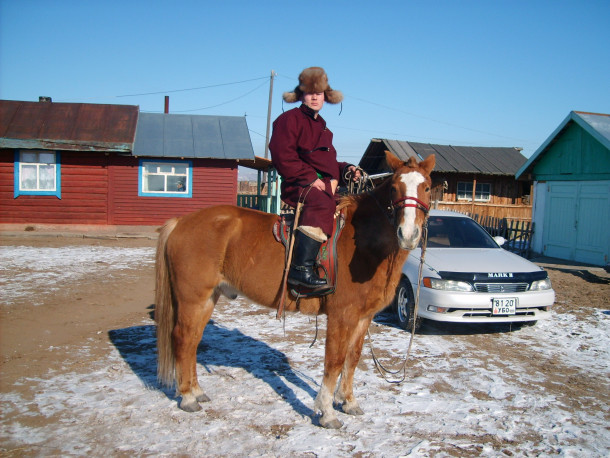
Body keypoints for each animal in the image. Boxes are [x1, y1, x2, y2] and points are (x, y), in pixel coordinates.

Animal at [154, 151, 434, 430]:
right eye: (395, 188)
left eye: (427, 187)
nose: (408, 234)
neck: (364, 242)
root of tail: (181, 222)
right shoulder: (341, 316)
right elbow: (334, 360)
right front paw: (327, 412)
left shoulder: (363, 317)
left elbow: (352, 358)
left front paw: (348, 402)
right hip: (192, 299)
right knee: (182, 339)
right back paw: (188, 397)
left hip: (207, 299)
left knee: (193, 341)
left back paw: (196, 391)